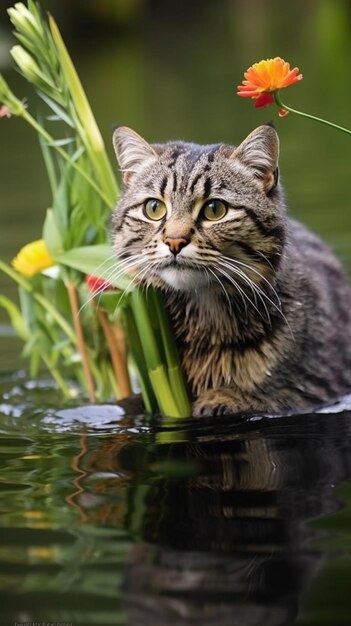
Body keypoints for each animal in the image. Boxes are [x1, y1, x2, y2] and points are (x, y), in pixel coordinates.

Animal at [111, 125, 351, 414]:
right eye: (154, 208)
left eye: (215, 209)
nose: (174, 241)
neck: (206, 319)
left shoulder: (320, 386)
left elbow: (269, 396)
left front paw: (223, 398)